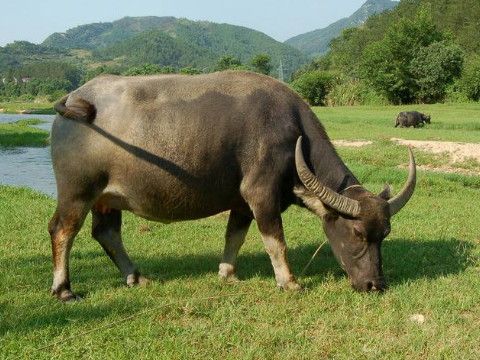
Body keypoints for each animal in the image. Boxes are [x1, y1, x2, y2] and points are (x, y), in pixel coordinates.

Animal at [49, 71, 416, 300]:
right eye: (357, 233)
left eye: (385, 234)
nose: (375, 285)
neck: (293, 131)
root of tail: (79, 98)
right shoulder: (261, 195)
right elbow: (275, 241)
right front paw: (289, 282)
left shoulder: (241, 203)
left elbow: (234, 236)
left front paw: (227, 273)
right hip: (77, 192)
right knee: (62, 230)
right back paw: (64, 289)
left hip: (106, 198)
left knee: (106, 233)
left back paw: (135, 276)